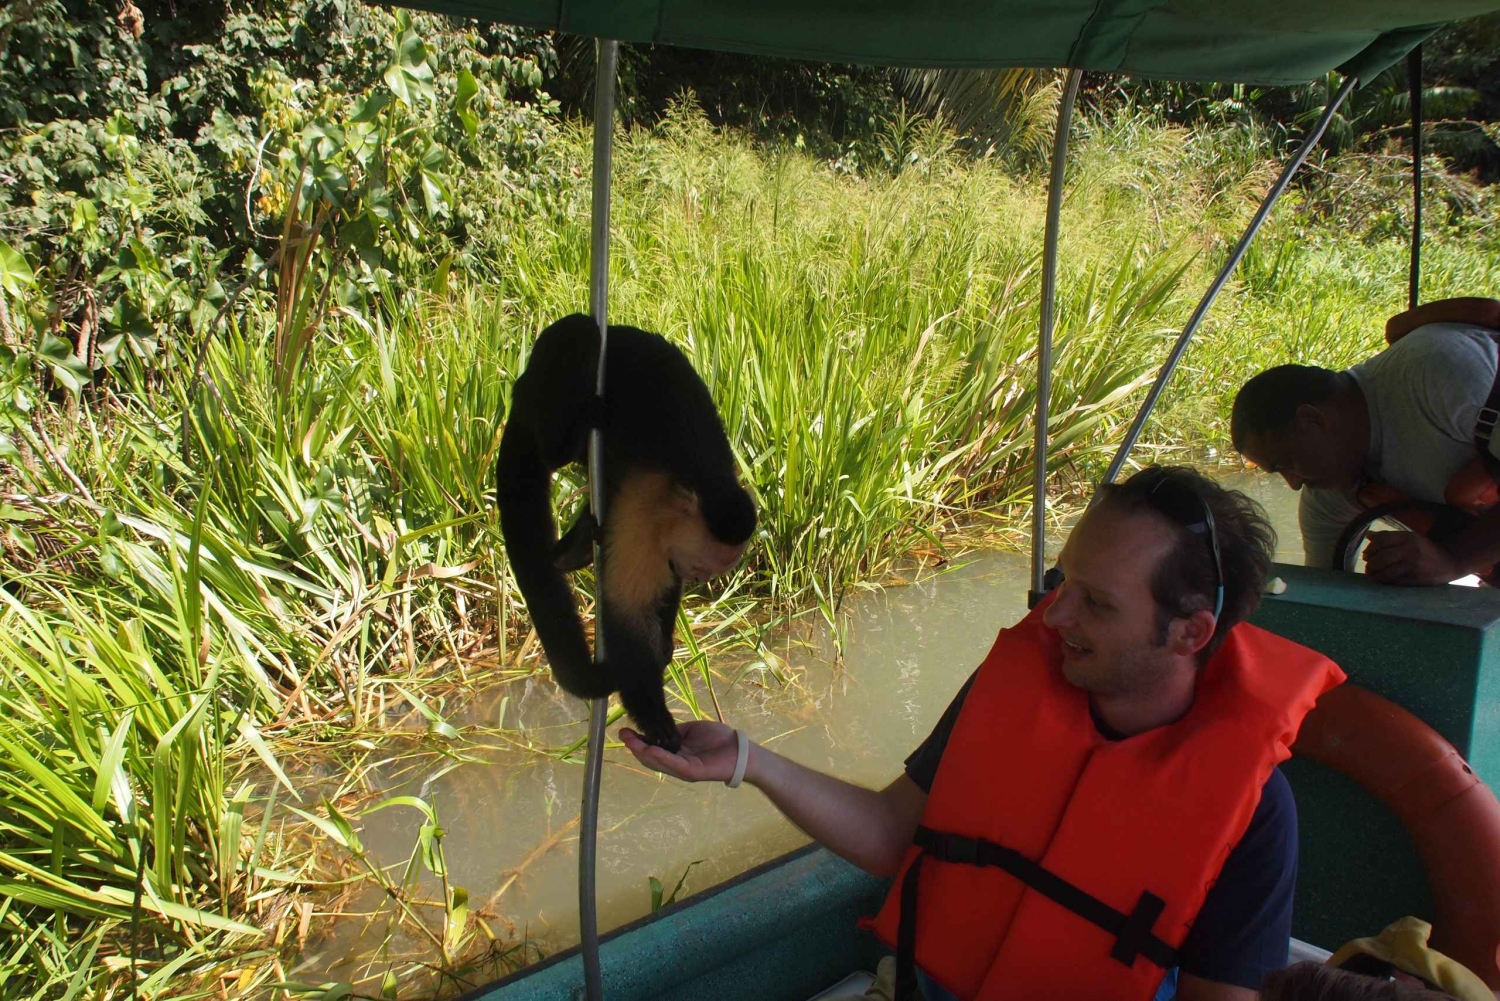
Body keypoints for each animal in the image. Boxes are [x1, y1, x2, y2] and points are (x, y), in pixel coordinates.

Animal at [496, 313, 757, 753]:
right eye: (703, 566)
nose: (699, 577)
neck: (697, 481)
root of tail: (521, 390)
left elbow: (664, 588)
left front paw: (664, 649)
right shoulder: (644, 507)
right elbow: (628, 611)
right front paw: (656, 720)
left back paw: (574, 549)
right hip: (539, 392)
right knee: (580, 337)